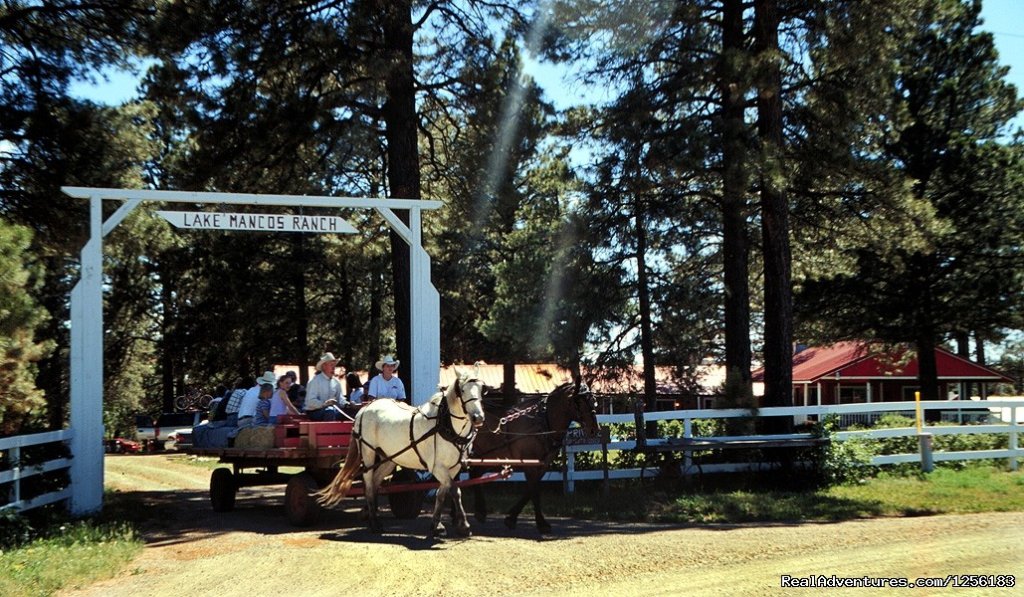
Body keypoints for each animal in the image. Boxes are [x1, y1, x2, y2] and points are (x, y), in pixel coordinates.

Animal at [315, 370, 483, 540]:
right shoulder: (437, 467)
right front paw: (464, 526)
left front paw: (437, 526)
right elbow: (454, 490)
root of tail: (364, 409)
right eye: (462, 390)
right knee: (368, 484)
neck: (445, 424)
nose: (478, 417)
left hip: (388, 459)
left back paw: (371, 516)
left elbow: (443, 493)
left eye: (482, 389)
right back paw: (374, 523)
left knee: (375, 483)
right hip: (368, 454)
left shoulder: (453, 467)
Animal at [466, 380, 598, 536]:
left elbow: (530, 490)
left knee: (475, 473)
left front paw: (511, 518)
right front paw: (541, 523)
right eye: (578, 402)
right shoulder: (530, 465)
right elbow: (534, 492)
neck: (544, 422)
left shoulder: (542, 465)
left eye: (594, 400)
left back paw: (479, 511)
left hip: (489, 457)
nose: (594, 429)